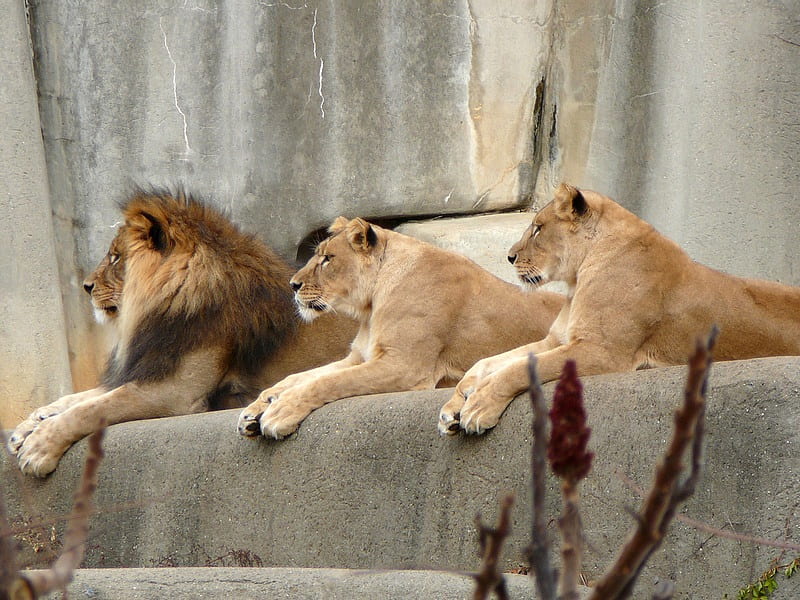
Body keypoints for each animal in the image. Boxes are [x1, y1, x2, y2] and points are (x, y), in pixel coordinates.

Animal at [7, 190, 354, 476]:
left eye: (116, 257)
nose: (86, 286)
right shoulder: (151, 367)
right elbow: (79, 398)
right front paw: (29, 424)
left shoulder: (174, 391)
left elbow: (93, 408)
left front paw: (39, 448)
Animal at [234, 218, 564, 438]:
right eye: (317, 254)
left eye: (327, 259)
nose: (292, 285)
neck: (371, 307)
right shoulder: (360, 356)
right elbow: (298, 377)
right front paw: (258, 406)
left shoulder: (404, 366)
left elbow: (327, 382)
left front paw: (280, 412)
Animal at [438, 185, 800, 434]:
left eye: (538, 228)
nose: (510, 257)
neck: (578, 279)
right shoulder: (556, 340)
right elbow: (488, 362)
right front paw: (455, 405)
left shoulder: (603, 352)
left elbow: (521, 368)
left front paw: (478, 407)